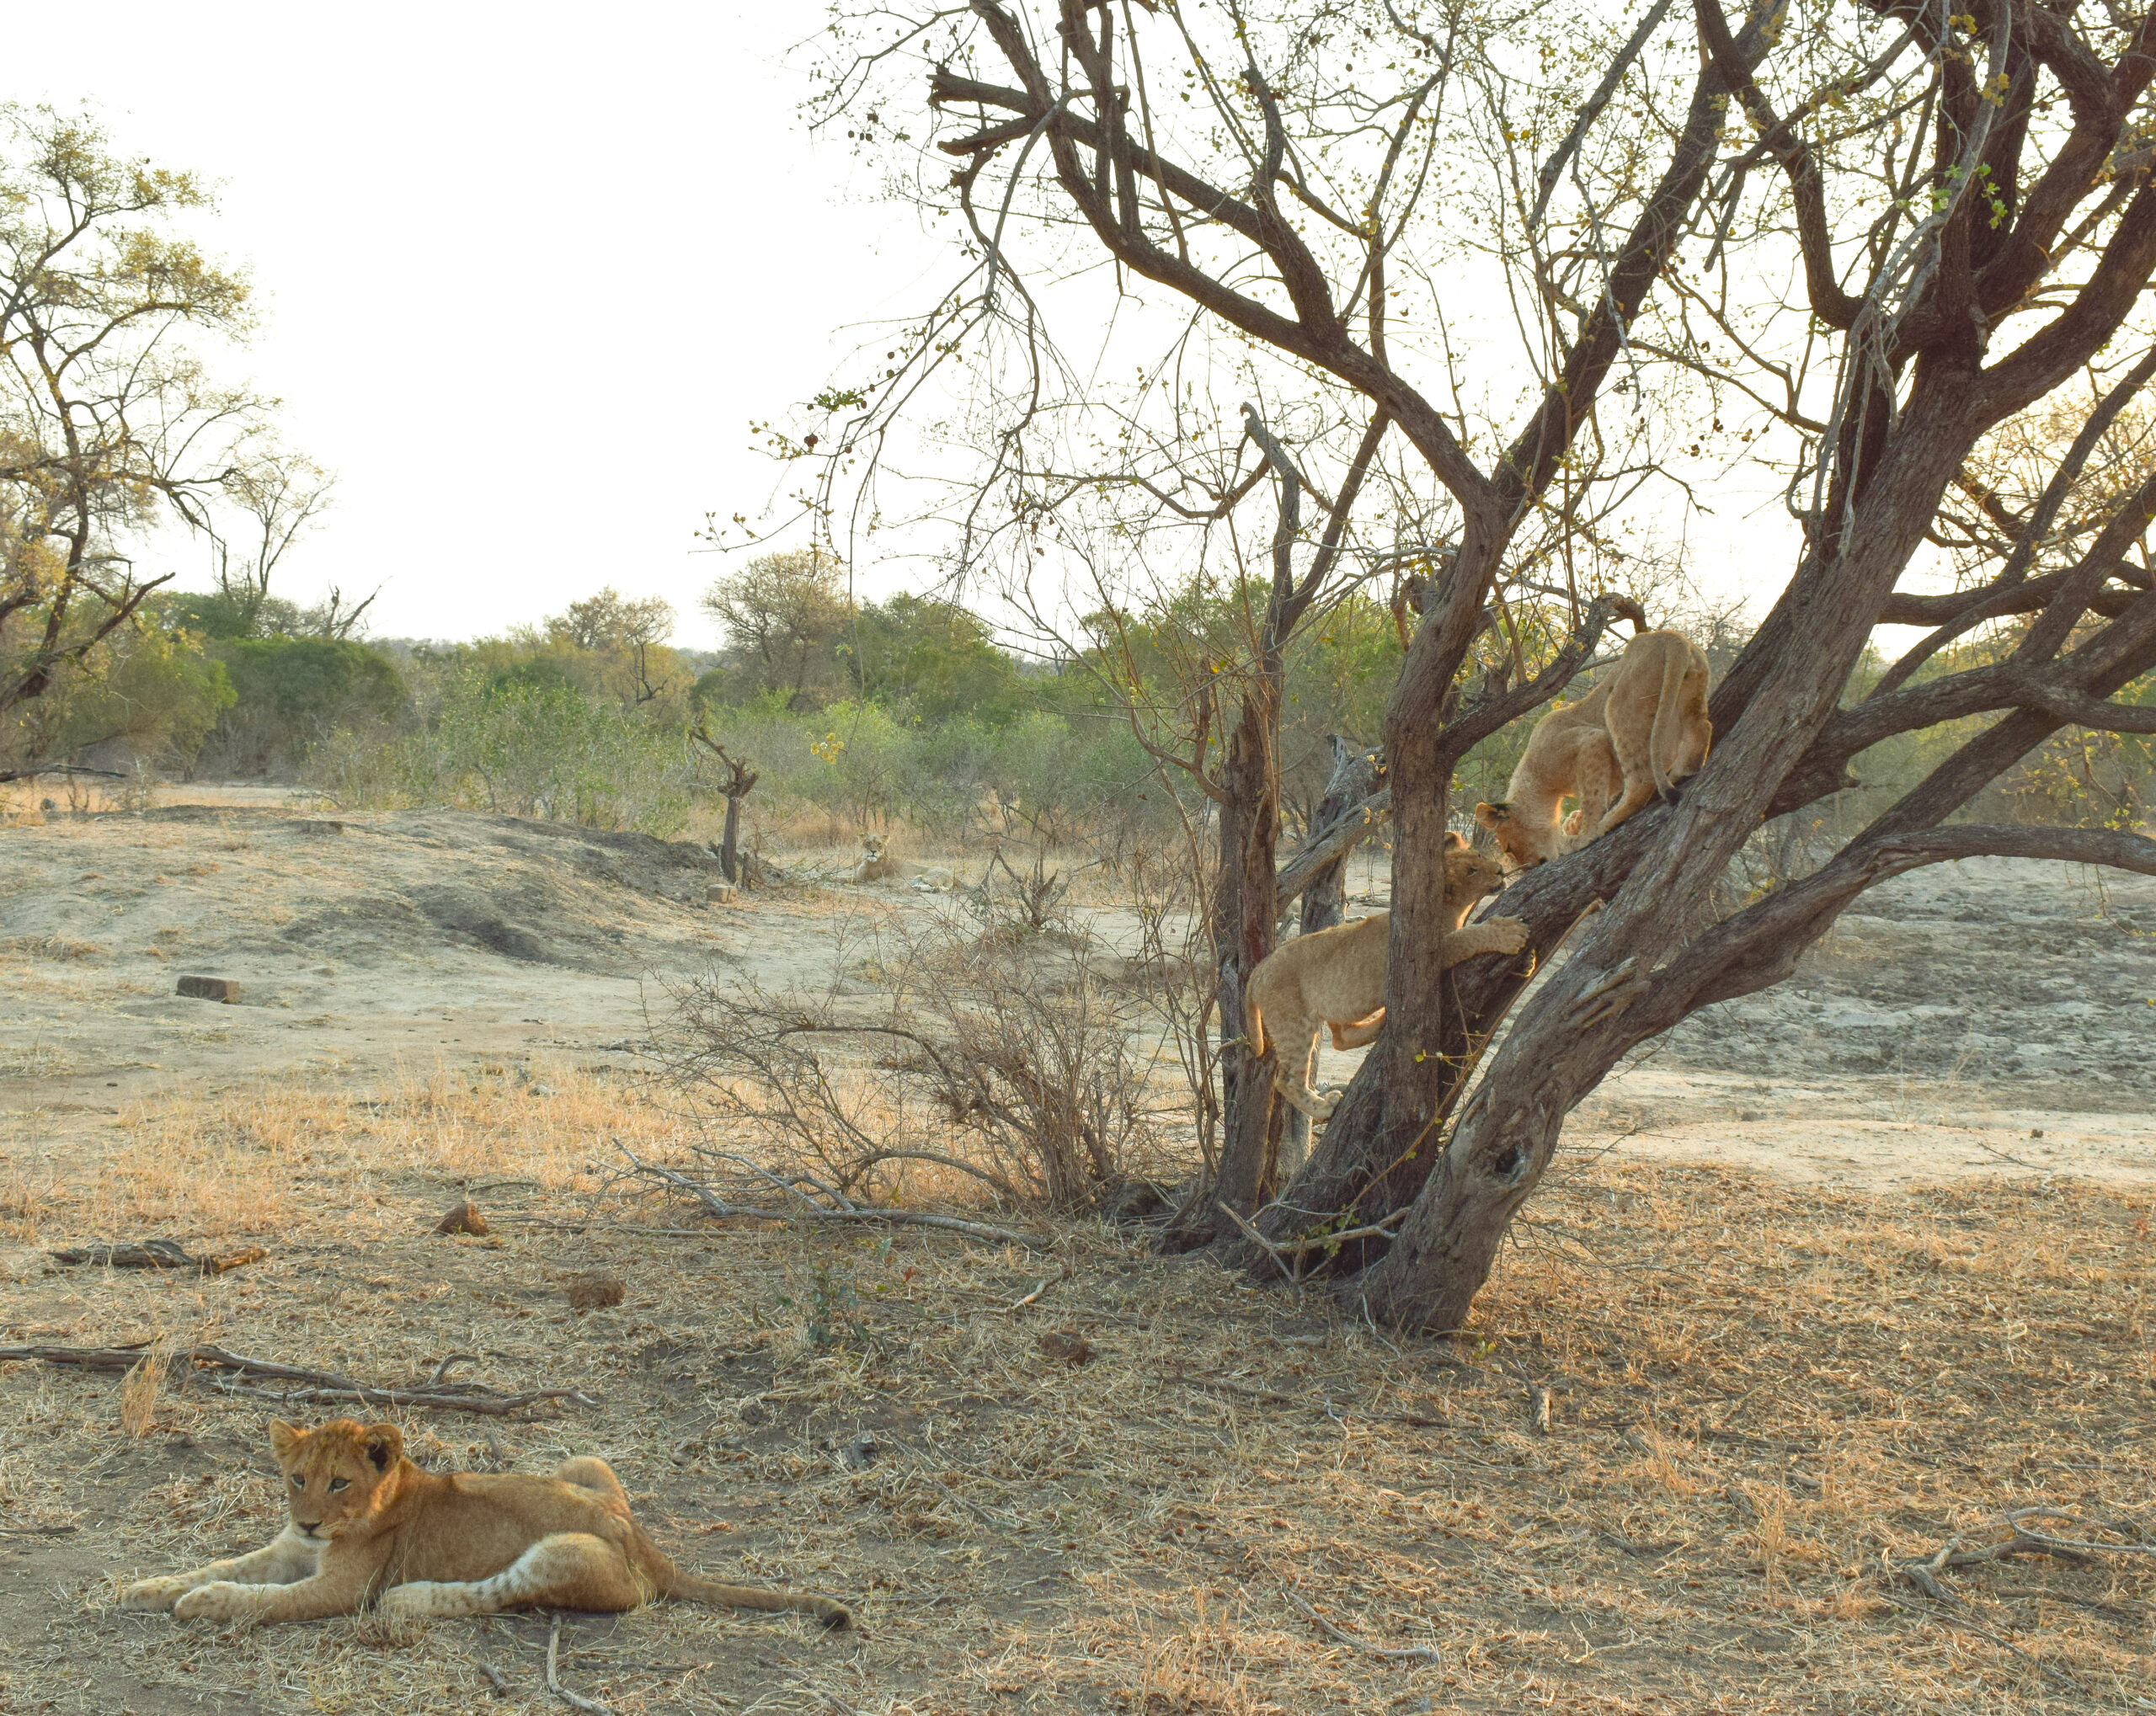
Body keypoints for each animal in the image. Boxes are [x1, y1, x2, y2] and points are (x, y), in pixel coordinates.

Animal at [120, 1414, 849, 1629]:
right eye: (297, 1479)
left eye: (339, 1483)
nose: (307, 1523)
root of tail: (648, 1545)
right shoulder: (288, 1552)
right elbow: (223, 1564)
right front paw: (145, 1587)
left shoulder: (339, 1587)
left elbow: (261, 1598)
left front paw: (201, 1603)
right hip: (583, 1460)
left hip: (566, 1550)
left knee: (493, 1593)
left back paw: (407, 1601)